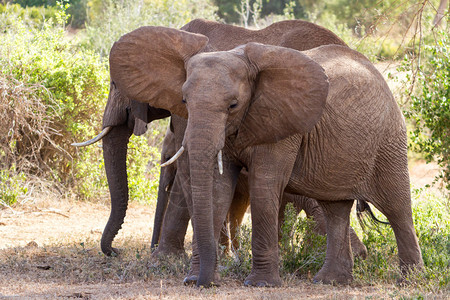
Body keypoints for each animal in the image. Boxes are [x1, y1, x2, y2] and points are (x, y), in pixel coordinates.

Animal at [107, 27, 424, 288]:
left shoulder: (283, 122)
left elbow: (265, 183)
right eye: (183, 100)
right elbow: (218, 187)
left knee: (397, 207)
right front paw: (197, 277)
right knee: (335, 208)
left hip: (389, 141)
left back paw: (409, 280)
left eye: (233, 105)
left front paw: (260, 284)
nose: (201, 282)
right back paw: (331, 281)